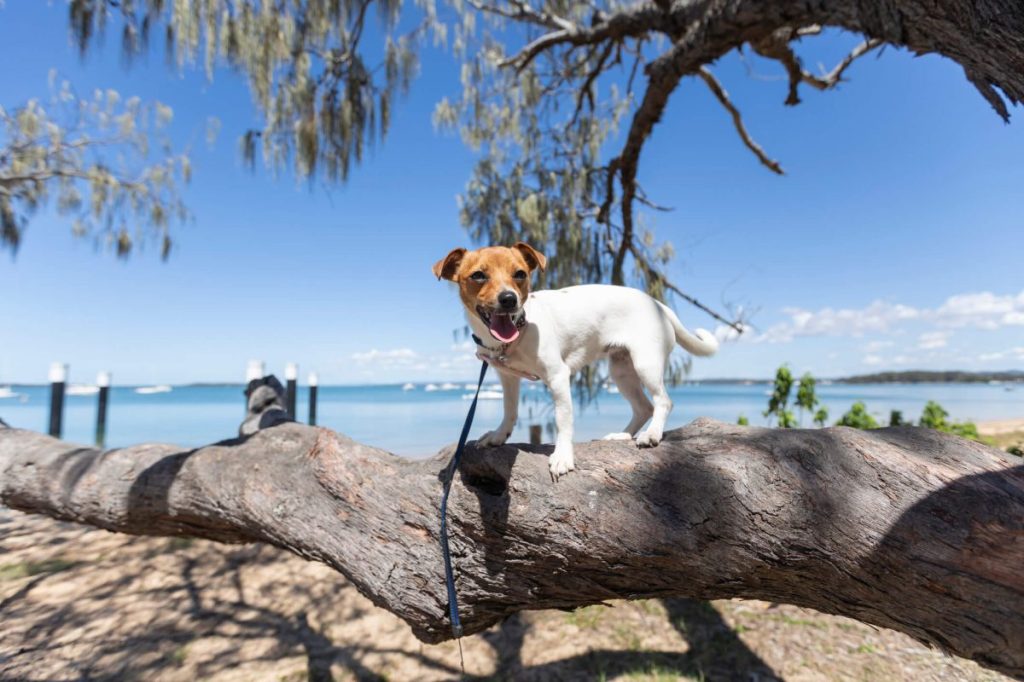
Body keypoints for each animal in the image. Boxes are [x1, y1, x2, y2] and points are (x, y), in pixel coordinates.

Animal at [428, 241, 716, 475]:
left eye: (520, 274)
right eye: (478, 275)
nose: (509, 299)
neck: (519, 329)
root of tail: (658, 305)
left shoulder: (558, 377)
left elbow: (563, 421)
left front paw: (563, 457)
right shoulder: (508, 378)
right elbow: (510, 410)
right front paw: (499, 436)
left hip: (645, 364)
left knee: (663, 401)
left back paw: (652, 434)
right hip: (622, 371)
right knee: (643, 406)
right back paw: (622, 435)